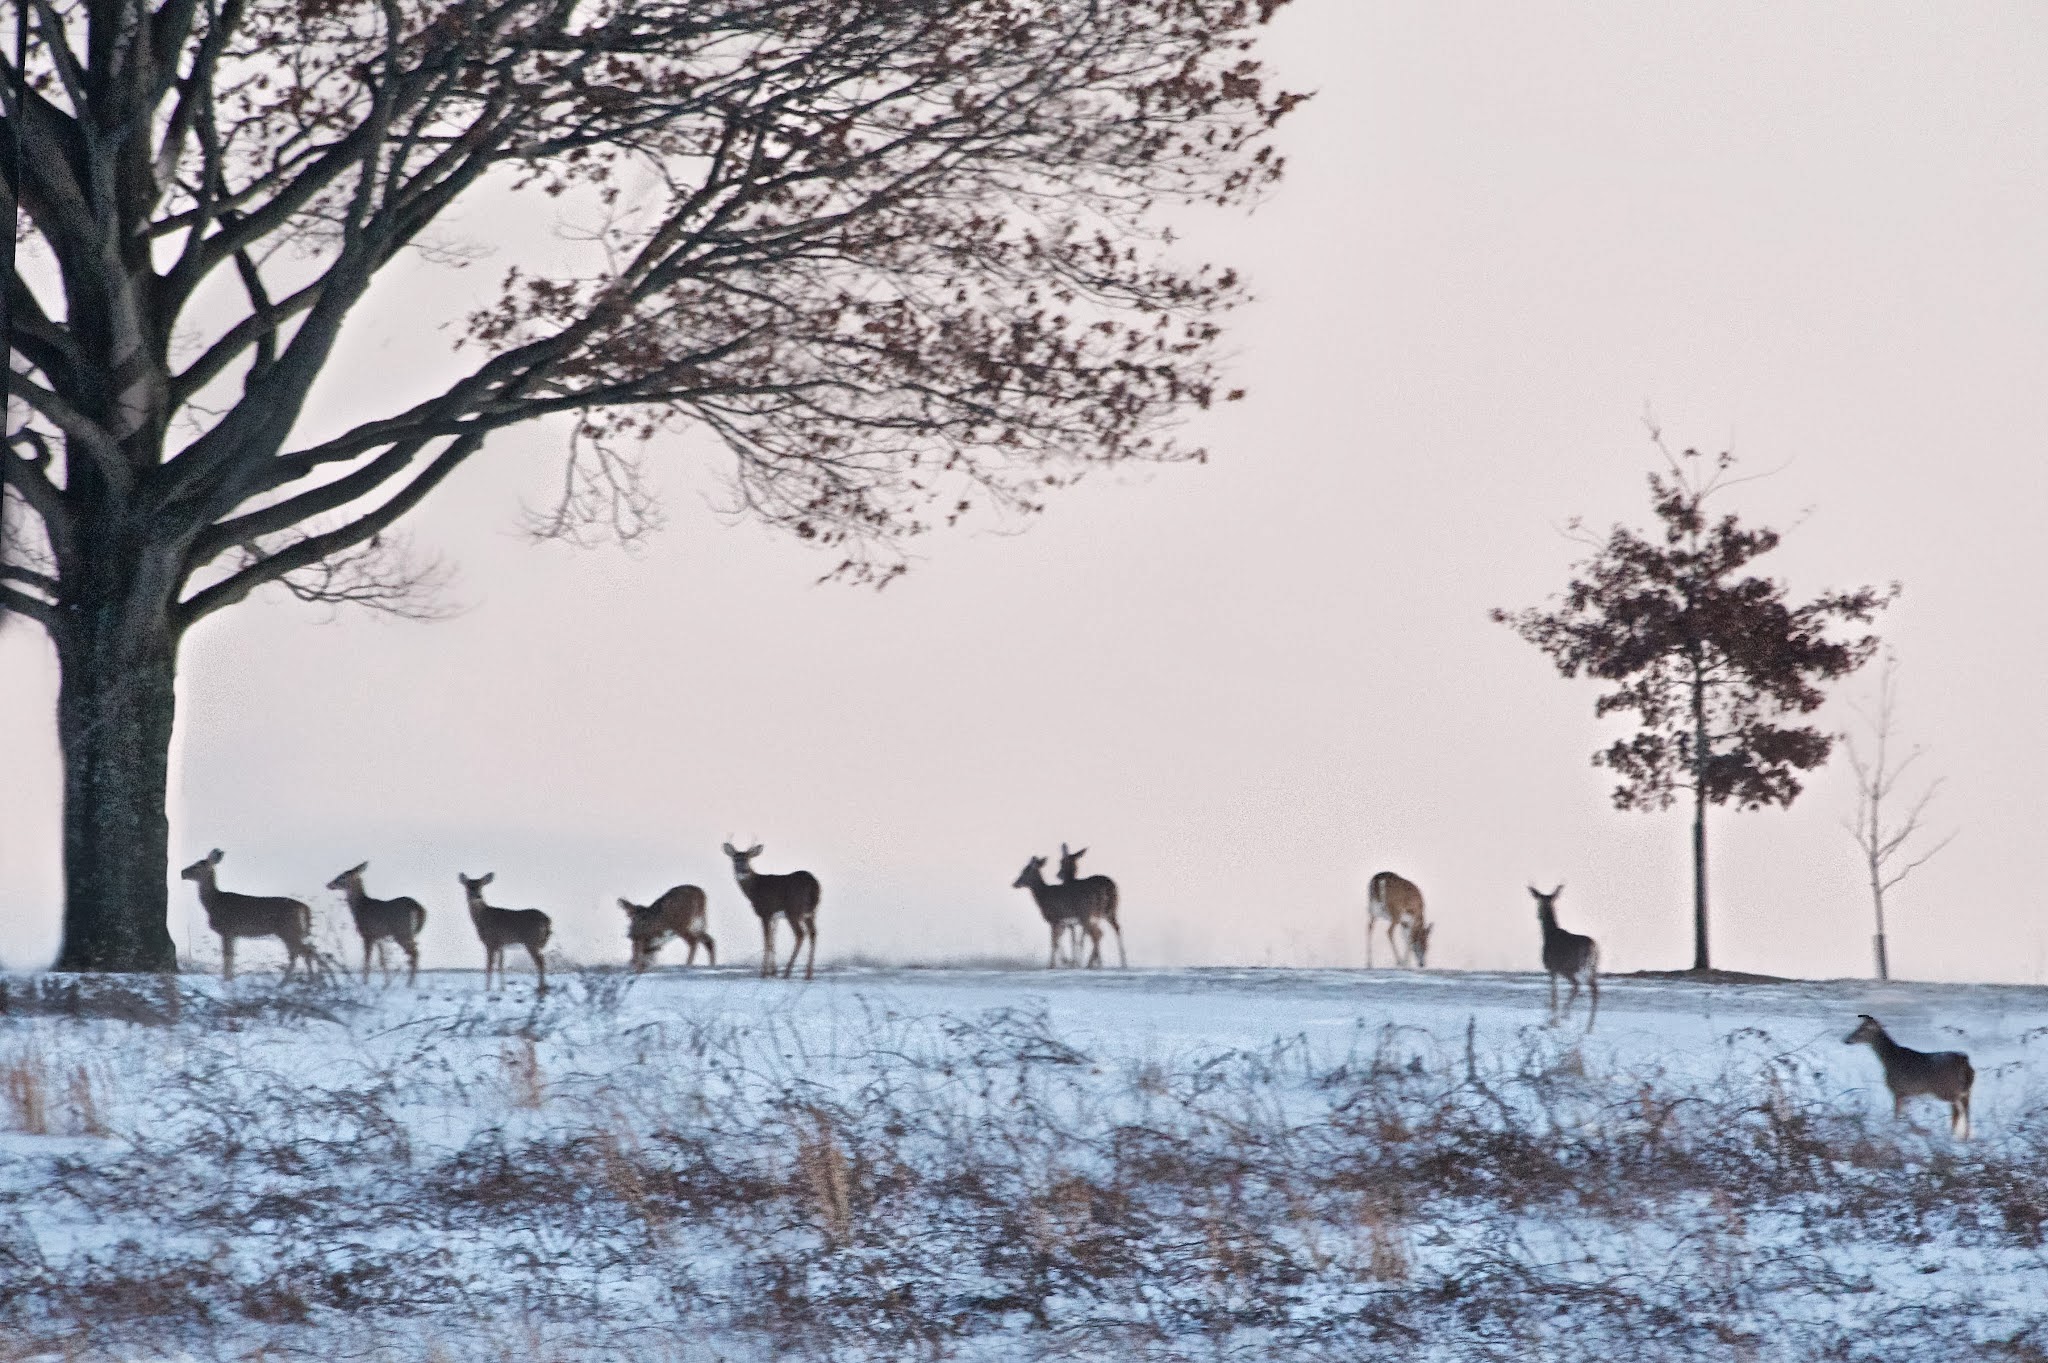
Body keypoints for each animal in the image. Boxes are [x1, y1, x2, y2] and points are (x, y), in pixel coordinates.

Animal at [180, 848, 316, 981]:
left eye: (198, 866)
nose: (182, 872)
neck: (214, 903)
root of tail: (303, 906)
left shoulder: (227, 930)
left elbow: (227, 957)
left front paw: (226, 980)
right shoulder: (234, 934)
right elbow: (231, 957)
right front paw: (230, 979)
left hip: (288, 929)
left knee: (304, 952)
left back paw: (307, 980)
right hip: (290, 930)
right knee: (301, 952)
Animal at [722, 843, 820, 980]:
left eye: (748, 859)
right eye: (735, 859)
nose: (742, 871)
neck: (754, 889)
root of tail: (813, 884)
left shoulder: (765, 913)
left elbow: (766, 940)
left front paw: (764, 973)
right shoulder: (775, 917)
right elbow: (773, 941)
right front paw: (773, 972)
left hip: (793, 910)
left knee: (800, 934)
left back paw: (787, 972)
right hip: (810, 912)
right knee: (813, 933)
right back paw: (808, 974)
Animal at [1530, 884, 1598, 1028]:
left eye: (1538, 902)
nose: (1538, 915)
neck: (1549, 934)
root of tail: (1594, 948)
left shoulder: (1552, 968)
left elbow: (1554, 995)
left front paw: (1554, 1022)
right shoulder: (1558, 970)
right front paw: (1559, 1018)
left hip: (1577, 967)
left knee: (1589, 988)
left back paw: (1587, 1027)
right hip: (1591, 968)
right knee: (1587, 988)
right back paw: (1587, 1026)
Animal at [1845, 1014, 1974, 1139]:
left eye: (1862, 1029)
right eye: (1858, 1027)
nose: (1846, 1040)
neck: (1889, 1060)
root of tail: (1964, 1061)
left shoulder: (1897, 1089)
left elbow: (1896, 1114)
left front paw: (1894, 1131)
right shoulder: (1906, 1093)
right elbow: (1904, 1113)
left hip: (1946, 1089)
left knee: (1958, 1110)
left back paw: (1955, 1135)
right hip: (1966, 1089)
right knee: (1966, 1109)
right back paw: (1964, 1136)